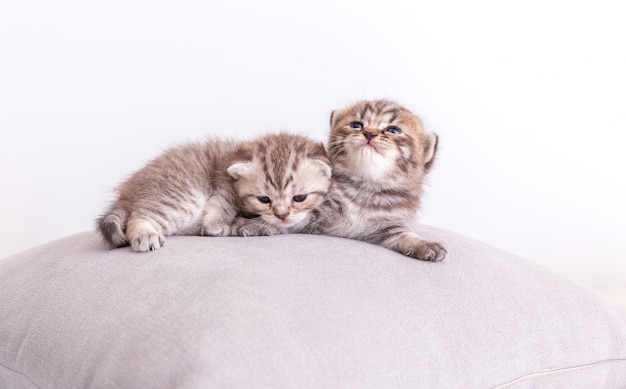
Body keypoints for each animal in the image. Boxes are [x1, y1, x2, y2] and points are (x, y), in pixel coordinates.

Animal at [94, 132, 330, 250]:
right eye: (264, 199)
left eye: (299, 198)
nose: (282, 215)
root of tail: (127, 193)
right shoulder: (224, 177)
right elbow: (223, 202)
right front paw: (215, 224)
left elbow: (291, 224)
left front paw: (256, 226)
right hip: (183, 196)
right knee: (140, 215)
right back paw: (145, 233)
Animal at [312, 98, 444, 260]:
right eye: (356, 125)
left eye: (393, 130)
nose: (370, 132)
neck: (366, 188)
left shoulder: (385, 227)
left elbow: (403, 235)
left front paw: (422, 244)